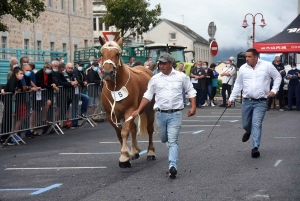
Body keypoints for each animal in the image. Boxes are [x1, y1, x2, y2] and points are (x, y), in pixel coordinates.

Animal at [99, 36, 156, 168]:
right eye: (102, 54)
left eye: (117, 54)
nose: (108, 73)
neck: (116, 88)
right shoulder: (111, 116)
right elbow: (119, 133)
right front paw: (127, 155)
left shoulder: (130, 111)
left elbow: (124, 132)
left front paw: (124, 157)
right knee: (133, 128)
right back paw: (134, 151)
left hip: (149, 110)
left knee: (149, 129)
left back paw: (150, 152)